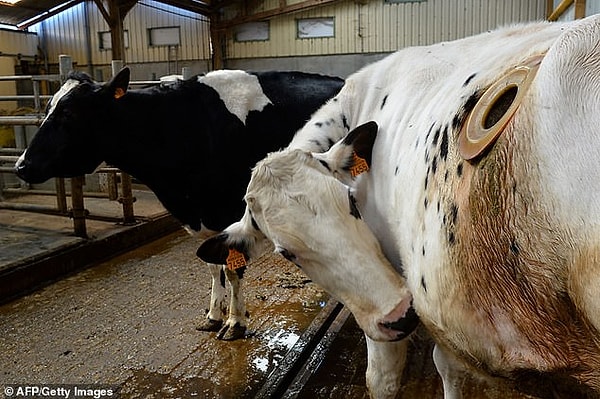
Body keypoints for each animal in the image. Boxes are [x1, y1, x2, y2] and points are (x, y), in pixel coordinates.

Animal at [14, 68, 342, 340]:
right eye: (48, 108)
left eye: (68, 113)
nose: (21, 166)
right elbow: (213, 265)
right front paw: (213, 315)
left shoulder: (230, 211)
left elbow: (232, 268)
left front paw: (234, 322)